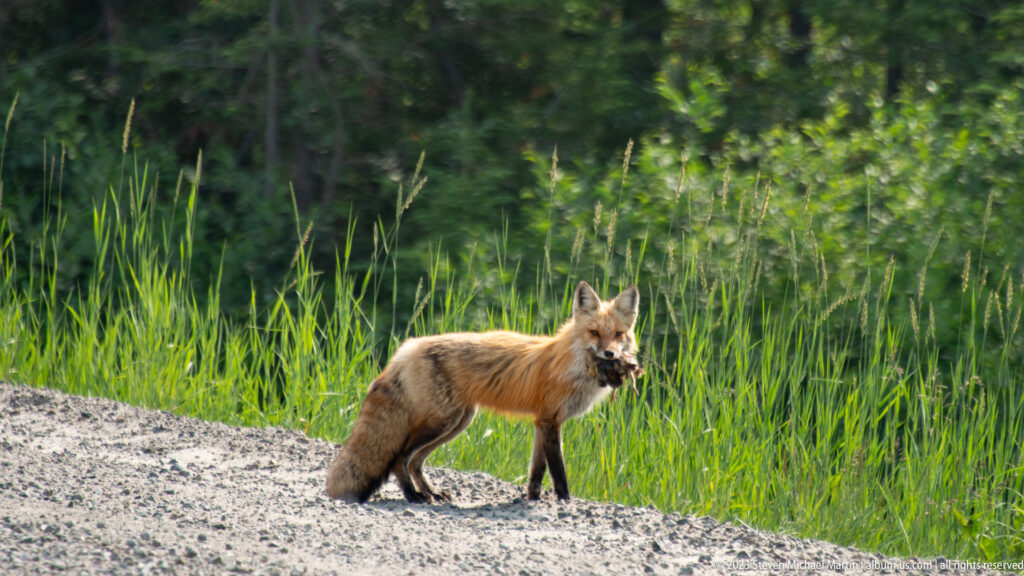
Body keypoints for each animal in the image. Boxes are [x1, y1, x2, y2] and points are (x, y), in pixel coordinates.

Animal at [325, 280, 640, 503]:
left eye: (619, 335)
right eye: (594, 332)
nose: (611, 354)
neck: (573, 365)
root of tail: (407, 348)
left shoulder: (542, 421)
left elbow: (536, 471)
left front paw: (532, 499)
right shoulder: (550, 420)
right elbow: (558, 472)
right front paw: (564, 501)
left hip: (457, 422)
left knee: (414, 461)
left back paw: (431, 493)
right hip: (442, 421)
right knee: (399, 458)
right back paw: (413, 496)